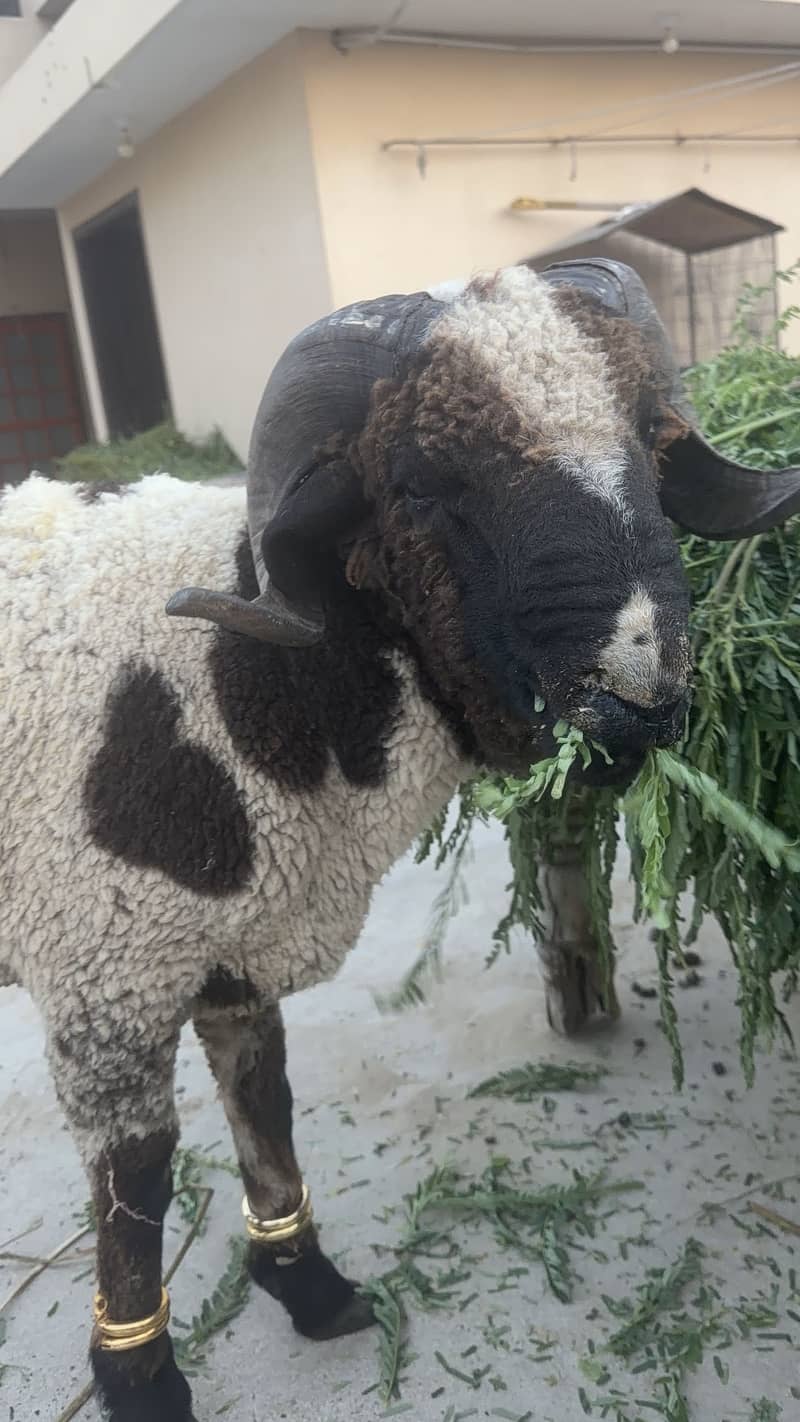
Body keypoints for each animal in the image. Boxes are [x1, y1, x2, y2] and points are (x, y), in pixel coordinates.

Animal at [2, 260, 797, 1422]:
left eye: (656, 442)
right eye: (421, 486)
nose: (634, 703)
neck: (238, 682)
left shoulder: (235, 949)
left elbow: (265, 1099)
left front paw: (309, 1286)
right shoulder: (104, 971)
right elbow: (137, 1174)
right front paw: (140, 1377)